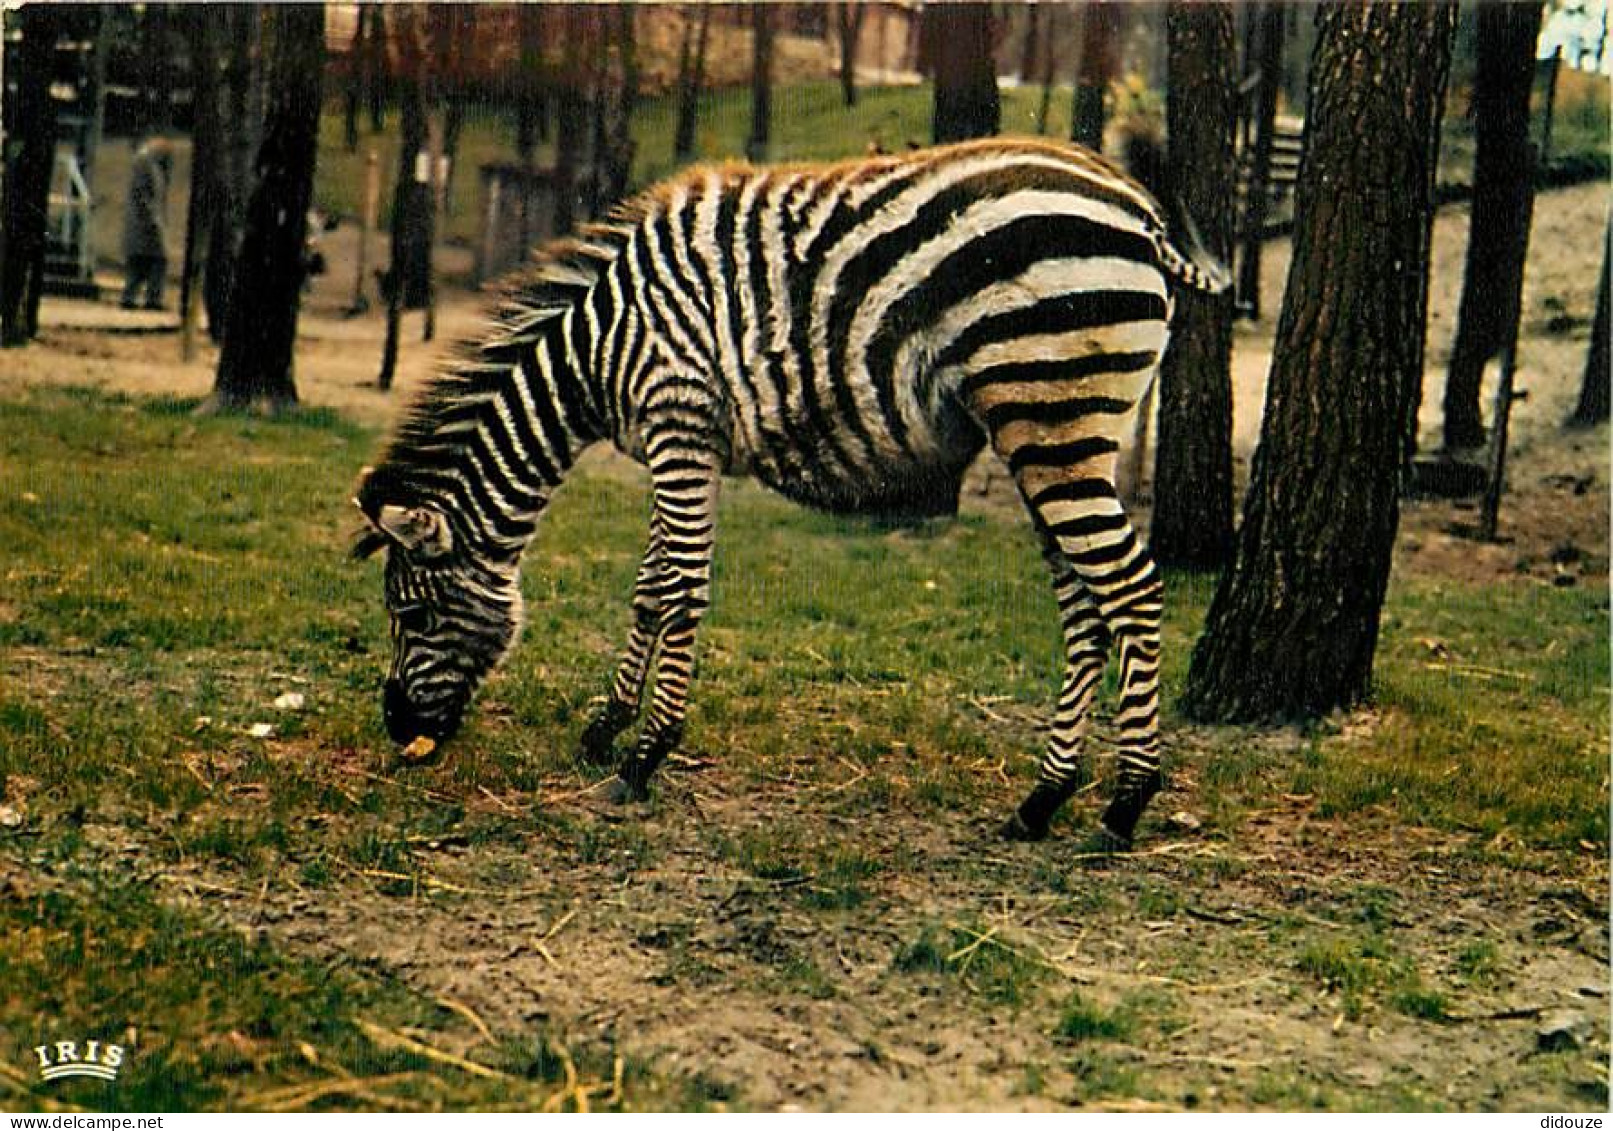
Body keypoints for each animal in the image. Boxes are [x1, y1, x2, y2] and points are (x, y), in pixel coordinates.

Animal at [359, 134, 1225, 845]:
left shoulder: (680, 421)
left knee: (1131, 589)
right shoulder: (676, 438)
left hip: (1053, 414)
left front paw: (644, 755)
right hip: (1048, 433)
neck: (597, 347)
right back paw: (1043, 799)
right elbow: (649, 587)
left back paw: (1126, 802)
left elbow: (682, 589)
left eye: (412, 613)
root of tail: (1135, 205)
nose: (395, 724)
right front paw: (605, 726)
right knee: (1085, 604)